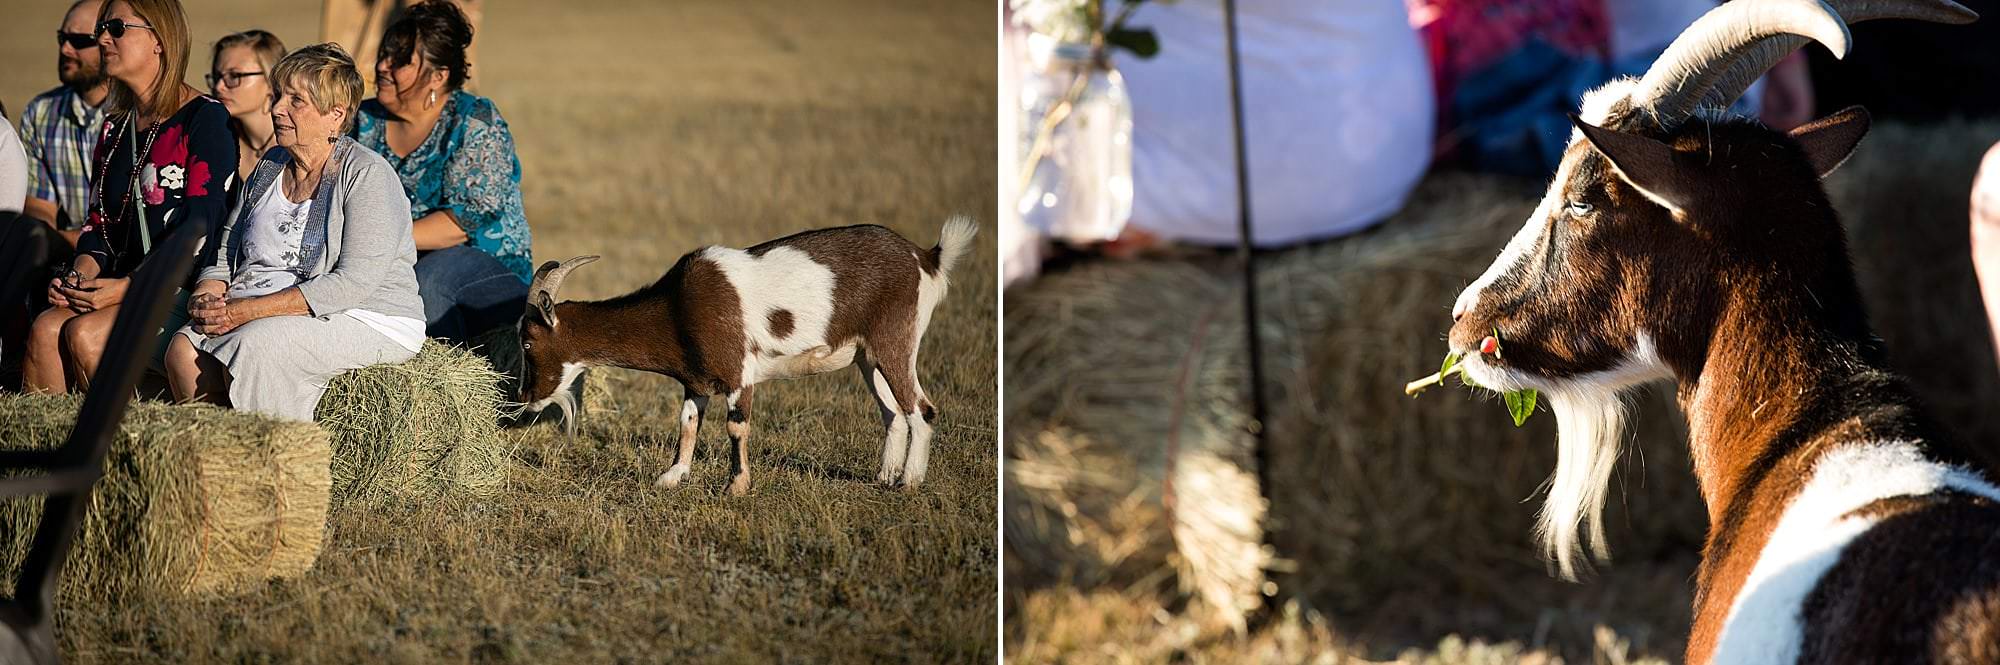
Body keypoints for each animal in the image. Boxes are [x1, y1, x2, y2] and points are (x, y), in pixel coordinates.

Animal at [520, 218, 980, 492]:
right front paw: (672, 477)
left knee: (921, 408)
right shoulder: (695, 379)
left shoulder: (738, 371)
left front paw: (736, 486)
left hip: (896, 339)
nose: (526, 397)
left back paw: (909, 482)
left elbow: (735, 426)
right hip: (867, 356)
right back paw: (885, 476)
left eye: (526, 342)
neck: (676, 307)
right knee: (892, 412)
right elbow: (687, 422)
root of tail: (926, 258)